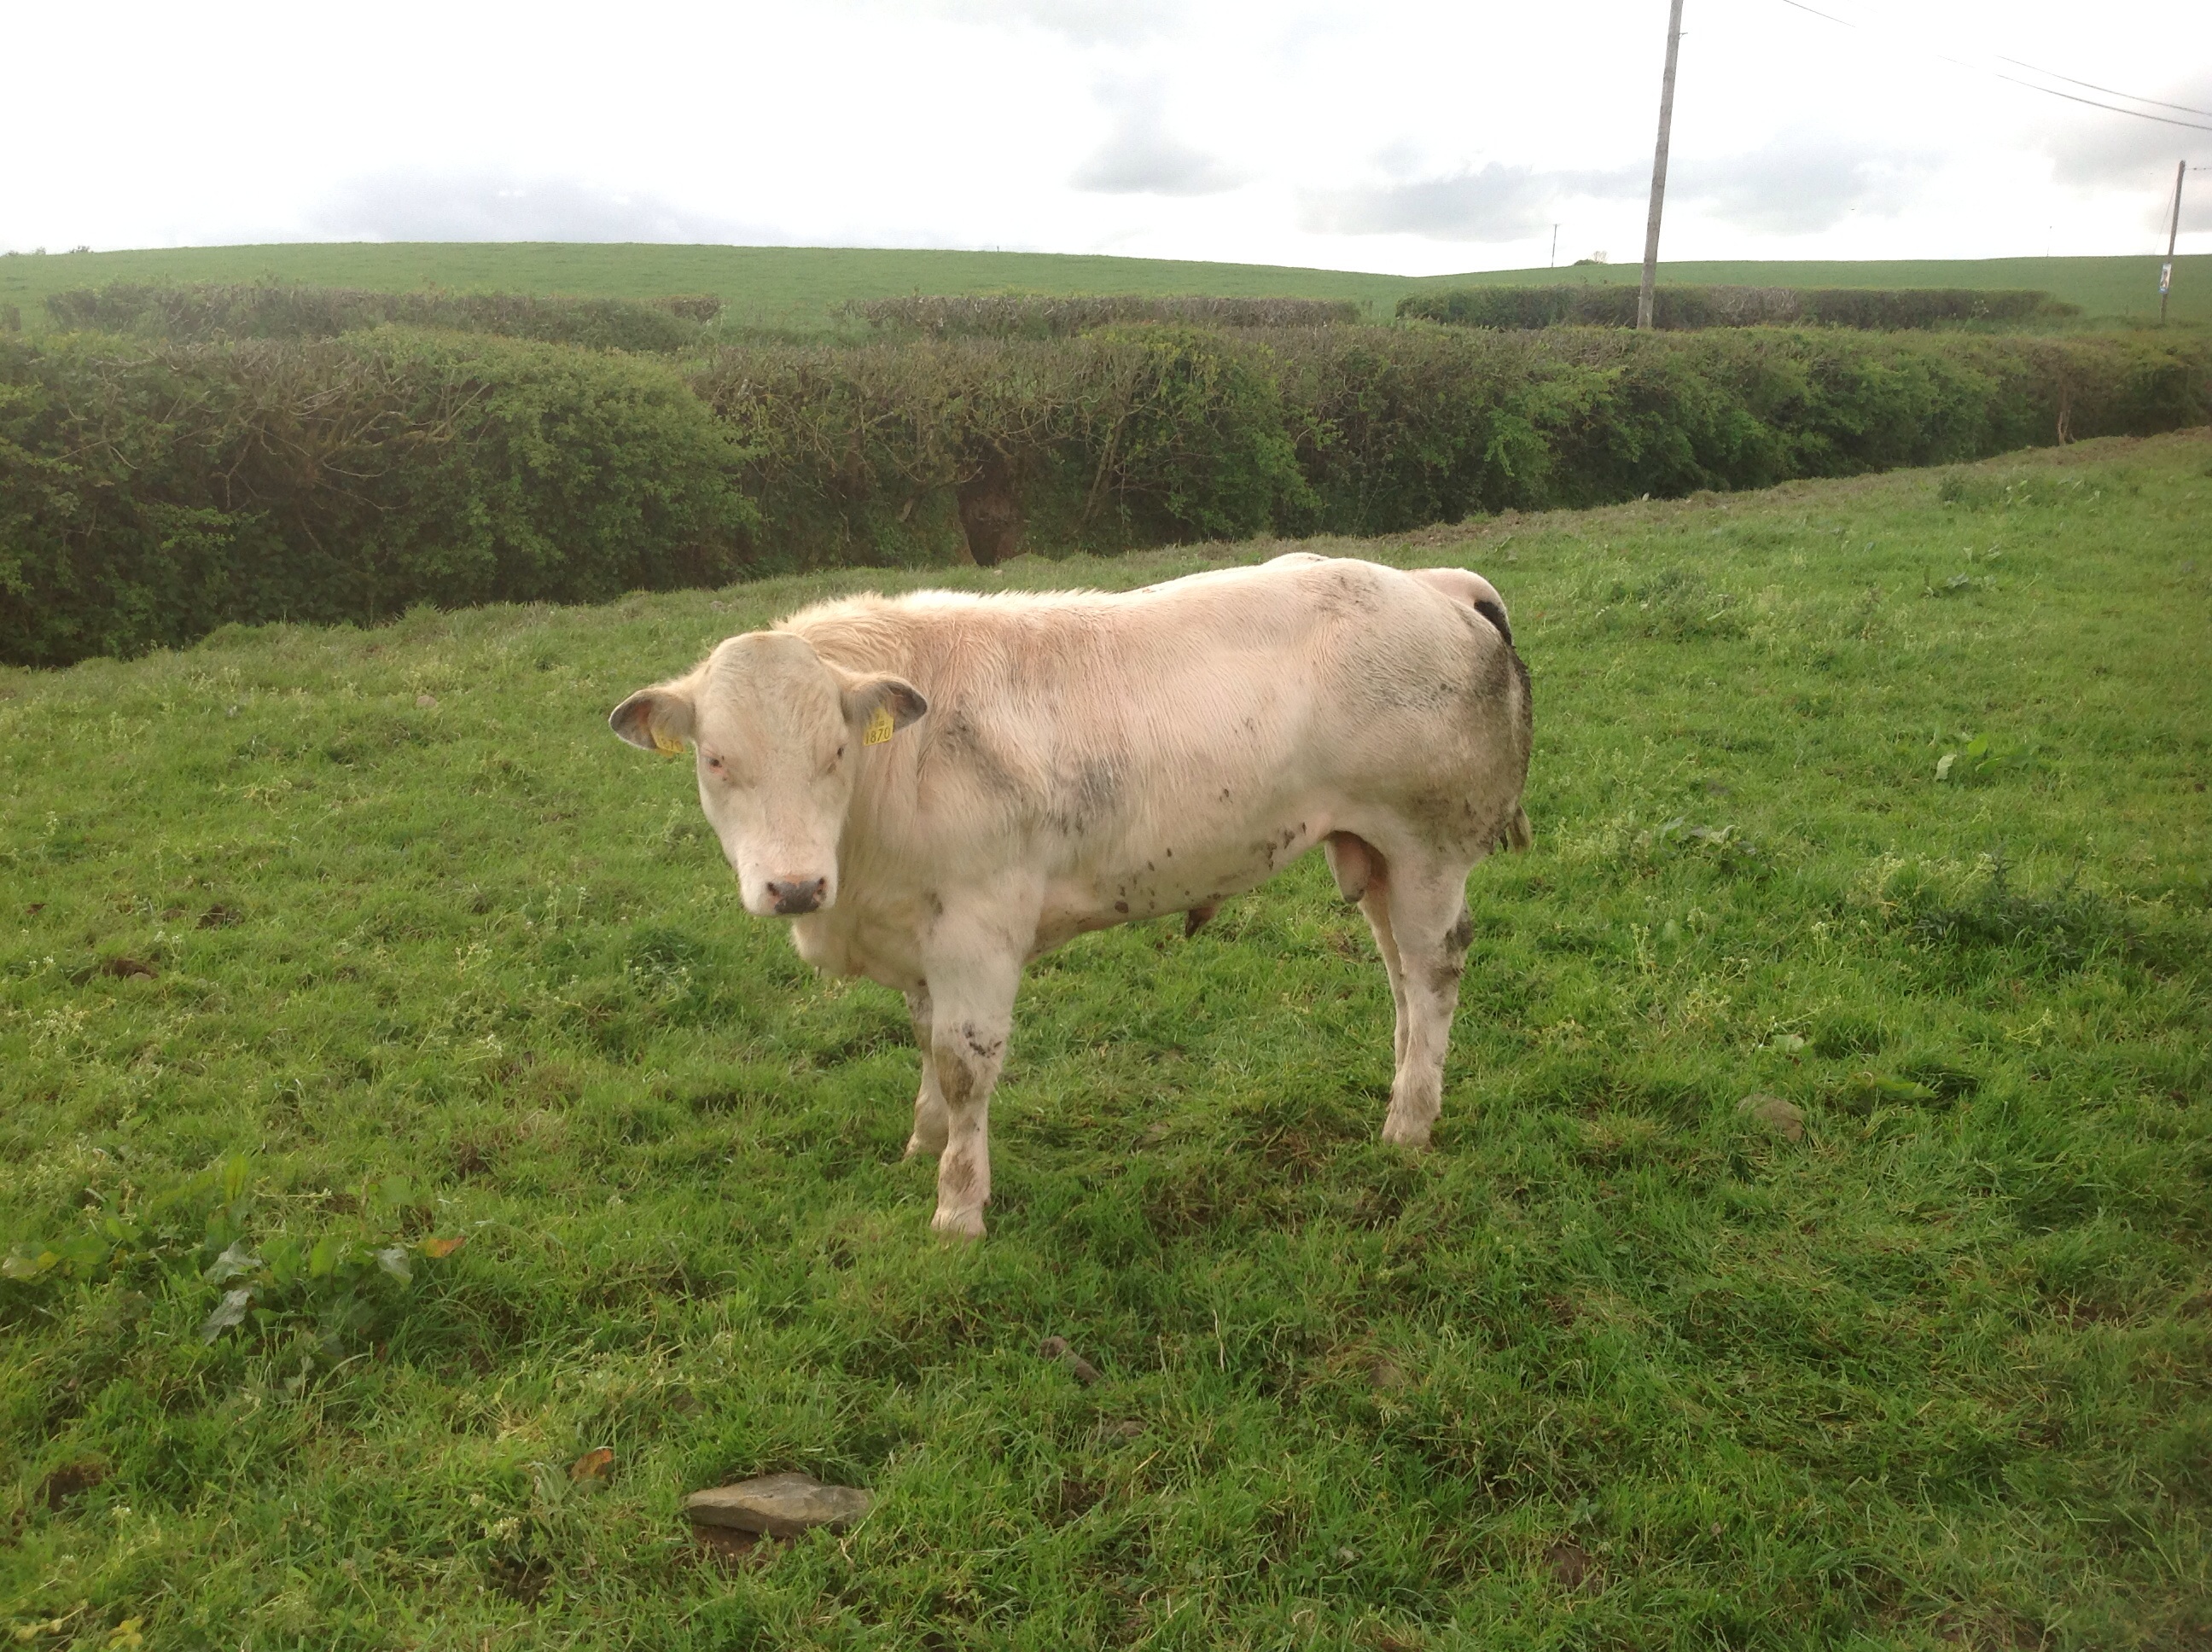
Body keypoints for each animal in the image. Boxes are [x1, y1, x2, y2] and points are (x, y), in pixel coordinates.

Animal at [610, 553, 1532, 1238]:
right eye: (716, 760)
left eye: (837, 751)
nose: (795, 886)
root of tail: (1434, 581)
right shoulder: (919, 934)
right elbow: (925, 1045)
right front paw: (923, 1140)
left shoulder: (977, 930)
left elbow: (963, 1063)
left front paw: (958, 1207)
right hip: (1373, 851)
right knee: (1398, 970)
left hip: (1430, 844)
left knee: (1435, 967)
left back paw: (1409, 1123)